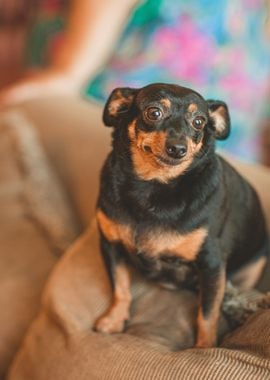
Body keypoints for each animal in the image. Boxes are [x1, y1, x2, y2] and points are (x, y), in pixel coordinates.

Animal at [94, 82, 268, 348]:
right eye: (154, 112)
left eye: (199, 122)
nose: (177, 148)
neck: (154, 187)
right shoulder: (111, 246)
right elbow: (120, 287)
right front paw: (114, 320)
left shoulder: (211, 265)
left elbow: (207, 314)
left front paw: (204, 349)